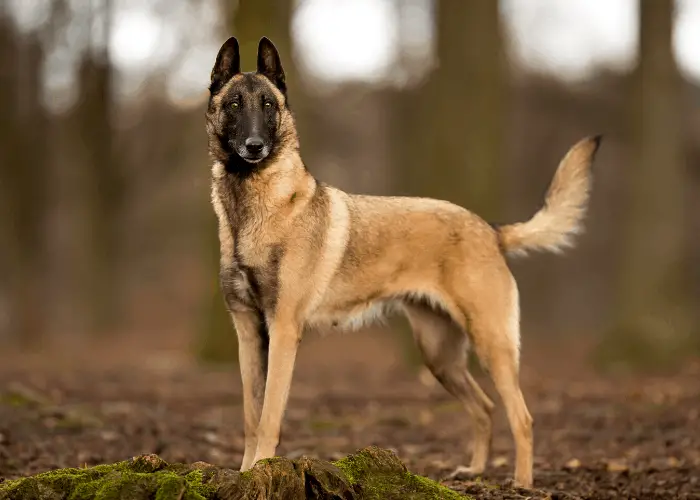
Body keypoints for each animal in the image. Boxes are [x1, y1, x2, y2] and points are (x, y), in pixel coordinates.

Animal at [204, 35, 600, 488]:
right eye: (235, 104)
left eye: (268, 105)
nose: (254, 146)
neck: (253, 207)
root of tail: (489, 229)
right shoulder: (249, 333)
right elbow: (250, 417)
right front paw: (245, 473)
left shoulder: (284, 331)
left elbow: (269, 417)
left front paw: (261, 469)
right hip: (438, 355)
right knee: (484, 408)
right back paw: (475, 469)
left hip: (491, 344)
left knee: (523, 416)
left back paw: (521, 483)